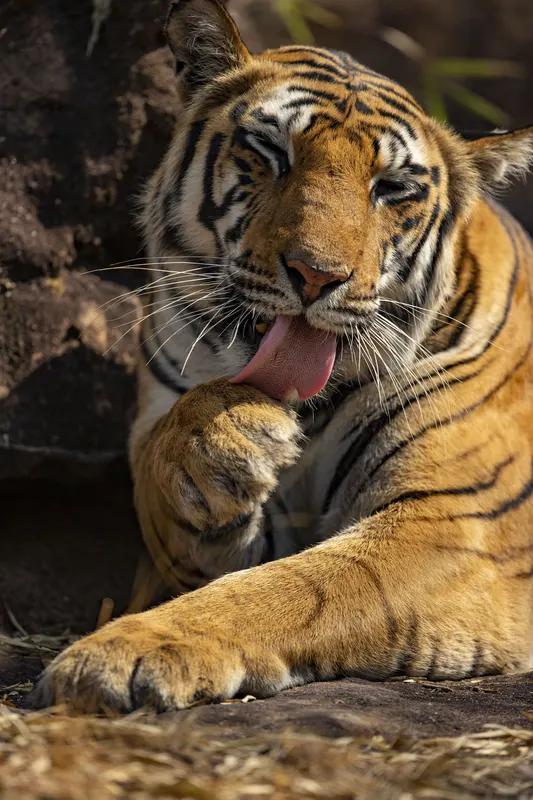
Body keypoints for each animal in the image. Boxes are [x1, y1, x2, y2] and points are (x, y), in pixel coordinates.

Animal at [34, 0, 533, 713]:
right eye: (272, 151)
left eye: (392, 187)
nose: (316, 275)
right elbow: (170, 471)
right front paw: (222, 444)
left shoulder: (449, 519)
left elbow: (296, 589)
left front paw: (116, 656)